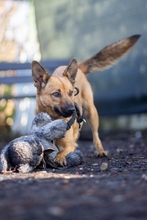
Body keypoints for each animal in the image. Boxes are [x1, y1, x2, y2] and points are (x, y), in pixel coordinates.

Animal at [31, 34, 140, 165]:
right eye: (56, 94)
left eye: (71, 93)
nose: (72, 110)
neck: (53, 120)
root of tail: (78, 68)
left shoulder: (69, 145)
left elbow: (63, 151)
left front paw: (59, 158)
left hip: (92, 112)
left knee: (96, 135)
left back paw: (100, 151)